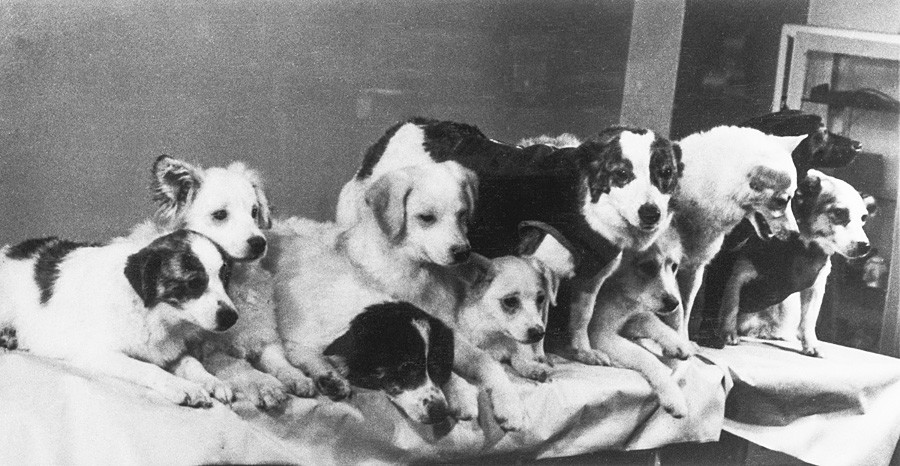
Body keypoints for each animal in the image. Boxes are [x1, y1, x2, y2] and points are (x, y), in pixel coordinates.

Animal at [588, 229, 692, 418]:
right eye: (648, 266)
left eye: (674, 266)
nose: (674, 303)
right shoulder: (600, 334)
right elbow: (646, 356)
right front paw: (673, 395)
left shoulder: (630, 319)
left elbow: (650, 319)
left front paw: (676, 343)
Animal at [708, 171, 876, 356]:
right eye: (839, 212)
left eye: (864, 218)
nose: (865, 246)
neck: (804, 249)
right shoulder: (738, 277)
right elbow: (731, 306)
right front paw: (728, 333)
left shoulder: (815, 289)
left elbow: (808, 321)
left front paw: (810, 344)